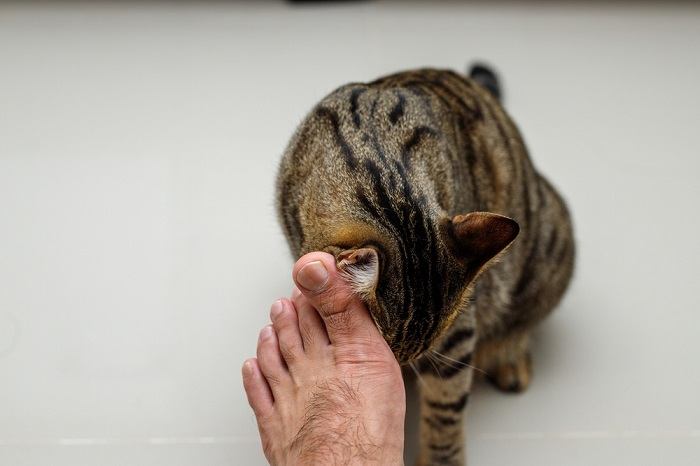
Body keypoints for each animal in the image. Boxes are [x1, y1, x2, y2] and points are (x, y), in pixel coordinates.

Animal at [274, 63, 576, 464]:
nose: (398, 367)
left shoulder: (458, 332)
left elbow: (446, 406)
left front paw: (440, 459)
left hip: (549, 243)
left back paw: (510, 357)